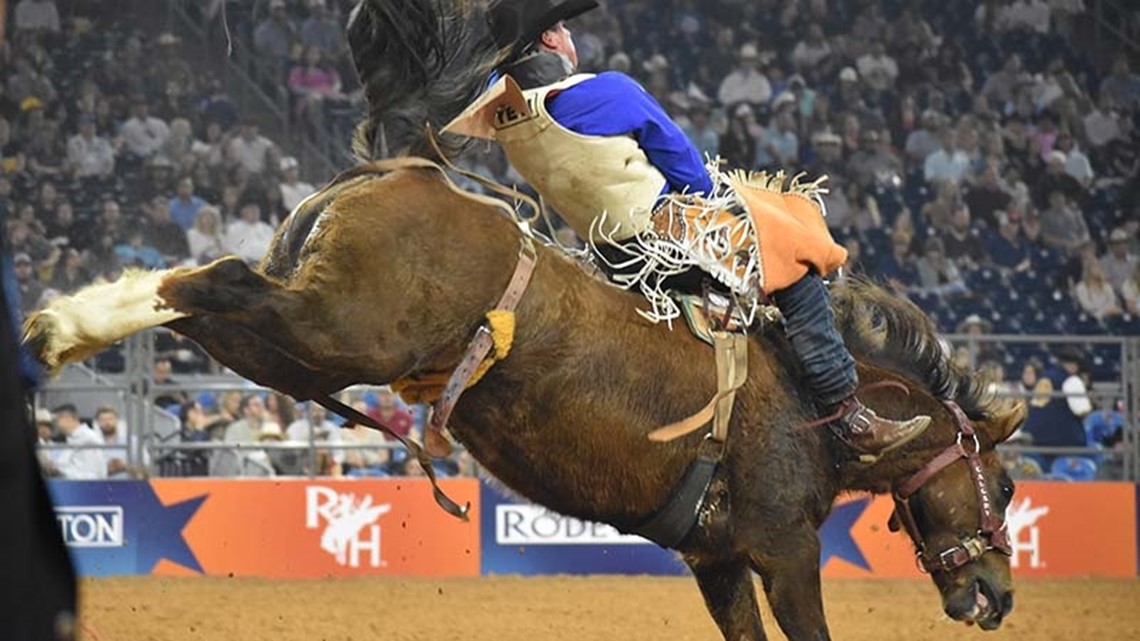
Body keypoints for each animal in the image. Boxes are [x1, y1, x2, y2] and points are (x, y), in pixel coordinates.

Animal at [24, 2, 1026, 634]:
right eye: (1009, 487)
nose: (996, 595)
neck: (801, 407)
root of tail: (405, 169)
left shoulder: (718, 561)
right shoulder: (785, 549)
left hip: (307, 347)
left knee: (213, 306)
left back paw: (67, 326)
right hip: (335, 328)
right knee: (211, 281)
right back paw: (65, 329)